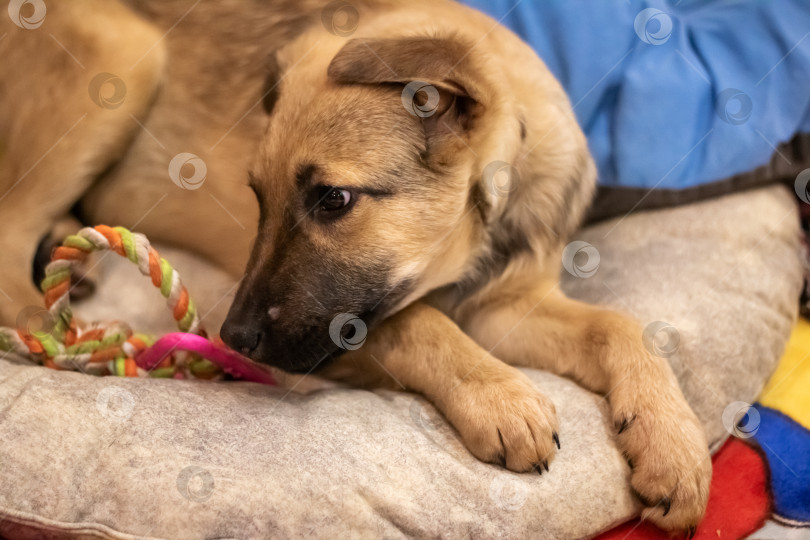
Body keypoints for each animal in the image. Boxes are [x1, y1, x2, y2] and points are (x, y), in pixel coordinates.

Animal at [0, 0, 708, 532]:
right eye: (257, 197)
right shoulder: (349, 332)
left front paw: (673, 446)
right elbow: (417, 321)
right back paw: (60, 341)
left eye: (333, 200)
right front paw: (500, 398)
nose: (233, 340)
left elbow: (620, 325)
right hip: (124, 55)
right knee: (10, 240)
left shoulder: (506, 305)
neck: (473, 235)